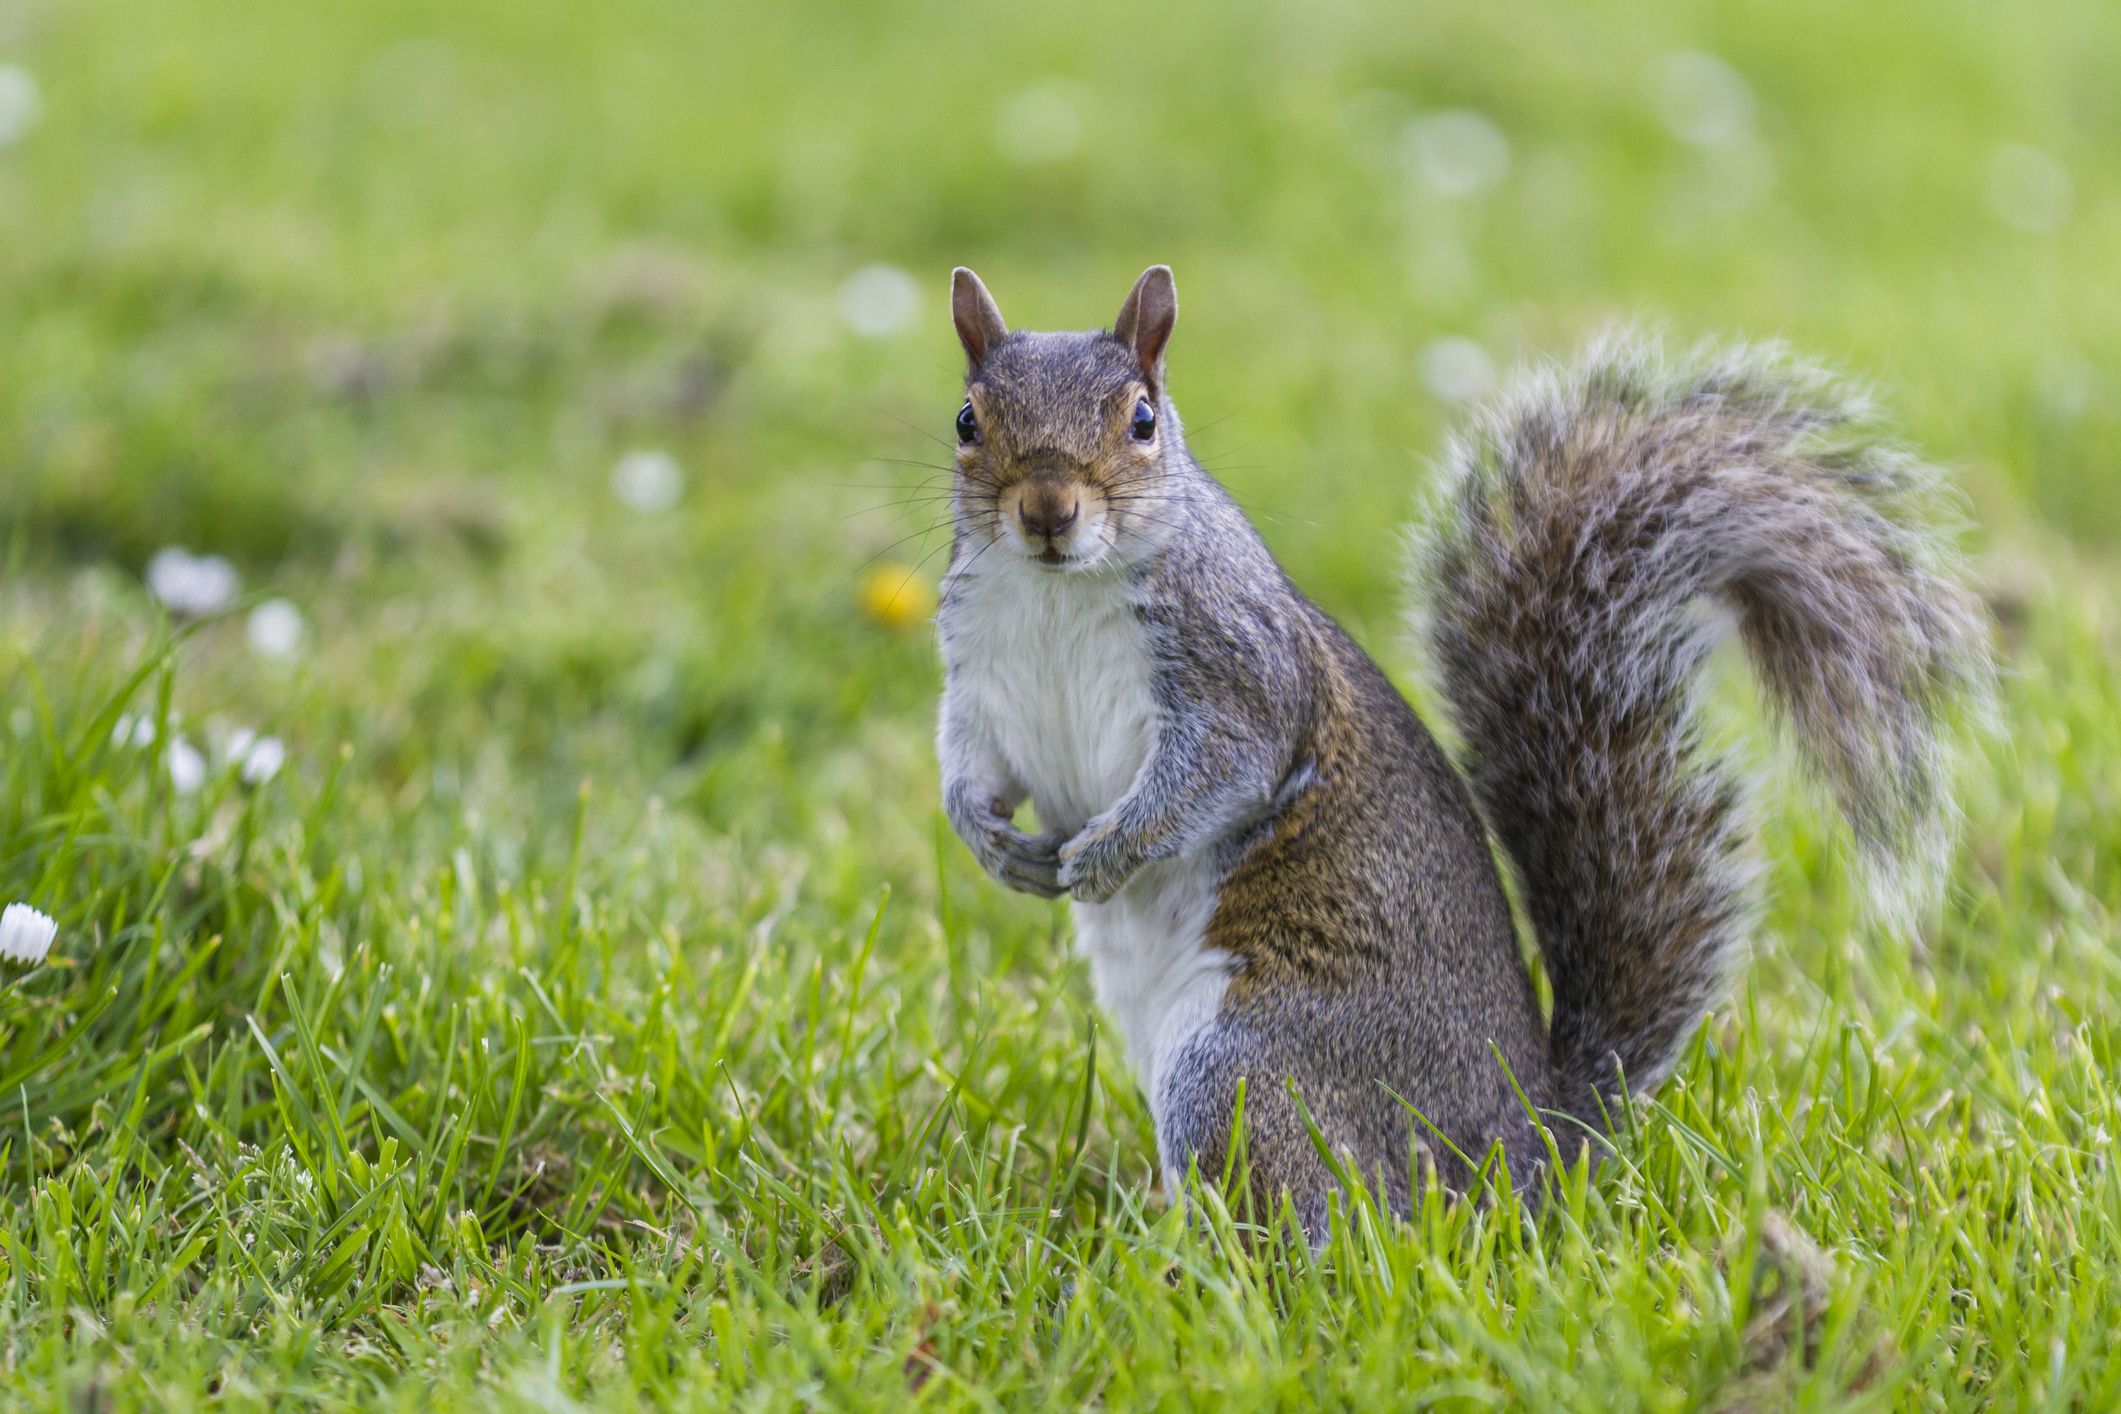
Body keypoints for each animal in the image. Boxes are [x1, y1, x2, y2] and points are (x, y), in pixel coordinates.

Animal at [933, 264, 1985, 1238]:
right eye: (966, 420)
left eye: (1142, 420)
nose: (1047, 510)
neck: (1055, 591)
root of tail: (1530, 1145)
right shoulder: (978, 684)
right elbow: (969, 768)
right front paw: (994, 847)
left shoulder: (1239, 669)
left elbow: (1218, 770)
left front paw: (1105, 851)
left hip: (1244, 1062)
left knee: (1333, 1221)